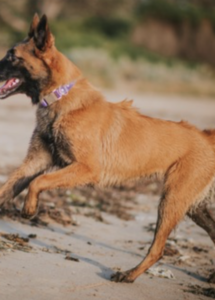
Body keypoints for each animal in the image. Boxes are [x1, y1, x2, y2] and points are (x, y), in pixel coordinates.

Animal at [0, 14, 214, 284]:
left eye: (12, 56)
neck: (62, 98)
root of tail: (206, 136)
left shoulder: (85, 169)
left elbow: (39, 182)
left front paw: (29, 209)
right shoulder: (35, 162)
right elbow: (9, 188)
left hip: (171, 201)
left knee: (158, 249)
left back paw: (129, 275)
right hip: (194, 207)